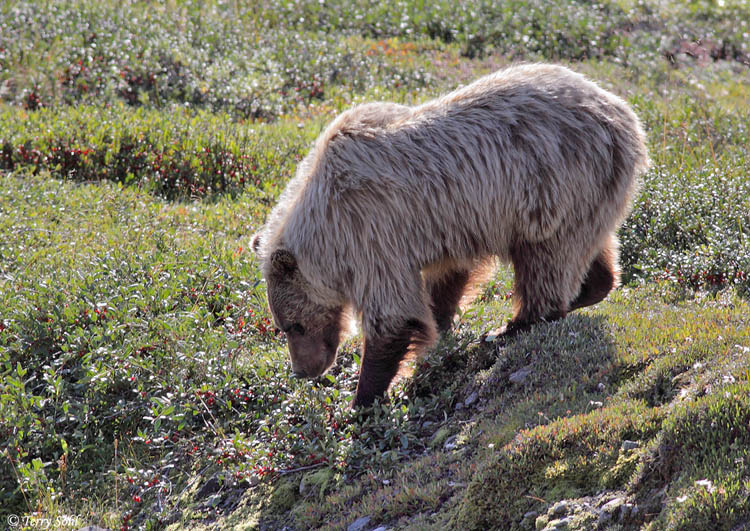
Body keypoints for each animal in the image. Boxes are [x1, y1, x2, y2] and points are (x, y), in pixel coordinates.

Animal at [252, 64, 649, 408]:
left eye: (293, 326)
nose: (304, 370)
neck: (326, 220)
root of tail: (626, 116)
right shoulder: (445, 226)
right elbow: (447, 279)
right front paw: (440, 323)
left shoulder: (371, 229)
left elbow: (394, 315)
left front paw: (363, 398)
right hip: (591, 194)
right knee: (588, 247)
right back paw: (588, 288)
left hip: (554, 185)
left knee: (545, 260)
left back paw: (512, 326)